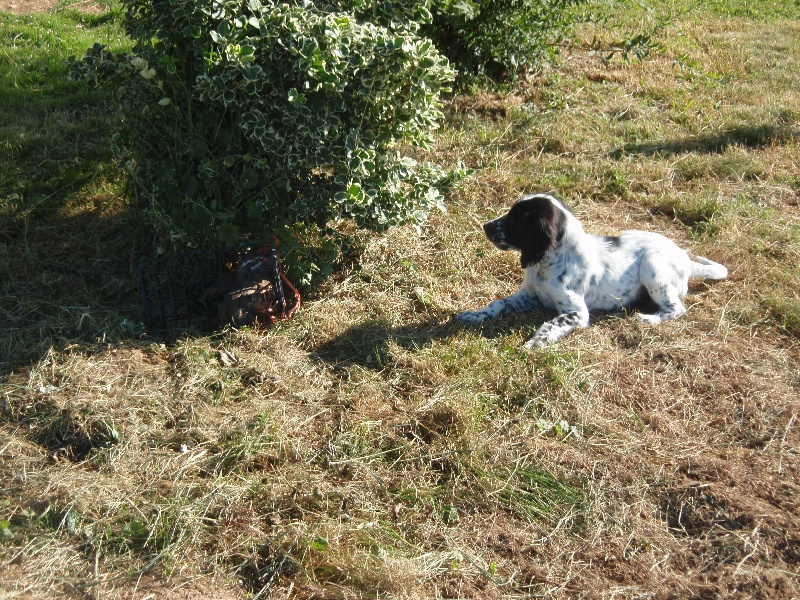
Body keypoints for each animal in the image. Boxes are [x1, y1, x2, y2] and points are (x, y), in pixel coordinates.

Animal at [456, 195, 724, 350]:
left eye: (516, 219)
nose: (486, 226)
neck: (547, 265)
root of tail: (685, 259)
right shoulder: (529, 295)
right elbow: (498, 303)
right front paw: (474, 315)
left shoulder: (577, 312)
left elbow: (551, 324)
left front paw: (537, 341)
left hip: (652, 263)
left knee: (677, 309)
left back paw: (649, 318)